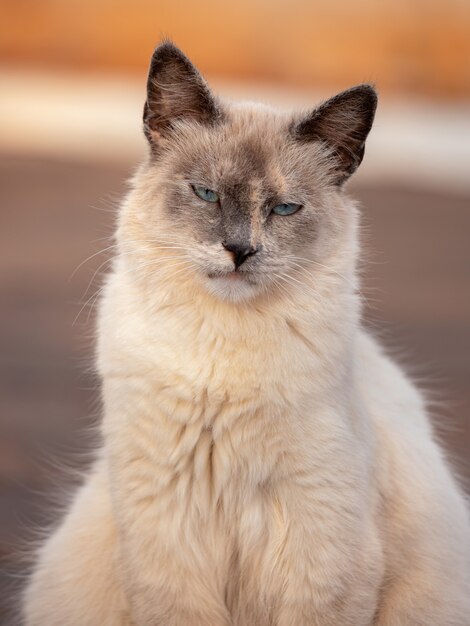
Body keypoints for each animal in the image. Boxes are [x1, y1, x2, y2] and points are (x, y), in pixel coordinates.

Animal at [23, 41, 470, 620]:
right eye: (206, 194)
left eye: (284, 208)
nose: (240, 250)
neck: (223, 359)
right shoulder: (167, 535)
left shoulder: (320, 551)